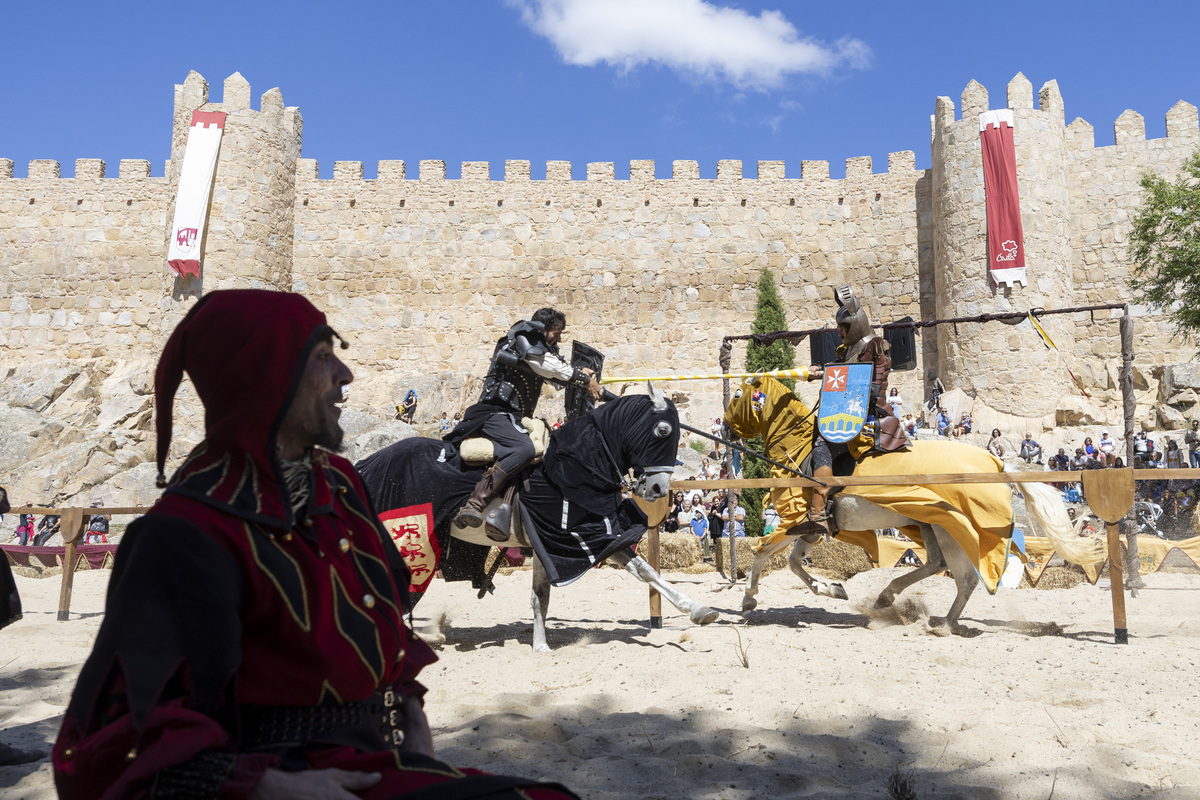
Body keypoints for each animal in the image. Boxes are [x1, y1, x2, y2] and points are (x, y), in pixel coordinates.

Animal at [355, 383, 720, 652]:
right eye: (662, 430)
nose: (659, 488)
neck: (573, 468)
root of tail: (367, 463)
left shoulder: (556, 543)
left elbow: (542, 596)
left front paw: (540, 645)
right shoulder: (580, 539)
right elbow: (642, 571)